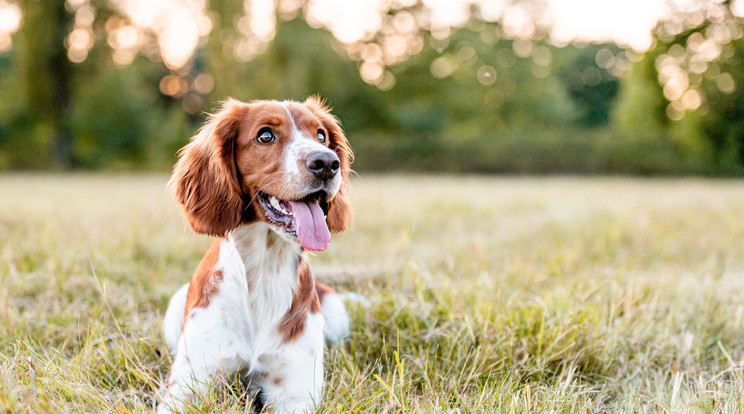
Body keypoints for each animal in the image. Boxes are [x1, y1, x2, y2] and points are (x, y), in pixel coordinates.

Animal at [158, 98, 354, 414]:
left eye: (321, 136)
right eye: (265, 136)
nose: (327, 163)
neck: (264, 269)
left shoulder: (295, 390)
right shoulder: (188, 385)